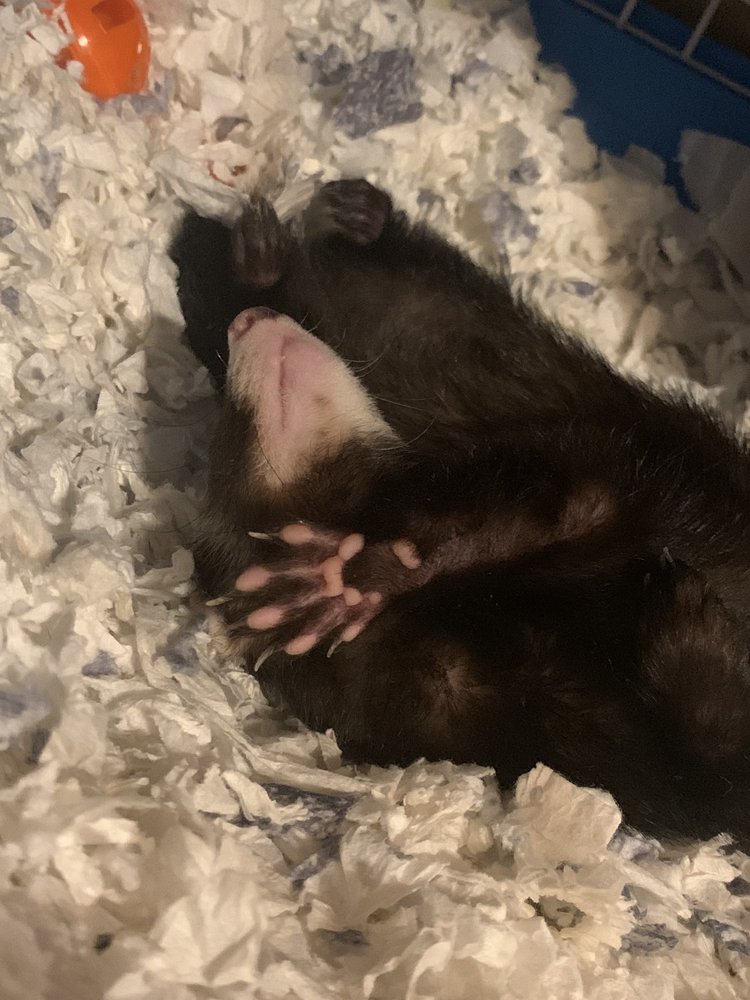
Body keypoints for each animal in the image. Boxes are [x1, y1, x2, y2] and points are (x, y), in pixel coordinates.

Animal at [170, 179, 750, 848]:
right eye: (228, 431)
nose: (250, 325)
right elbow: (702, 770)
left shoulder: (587, 467)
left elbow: (529, 514)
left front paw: (350, 579)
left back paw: (320, 229)